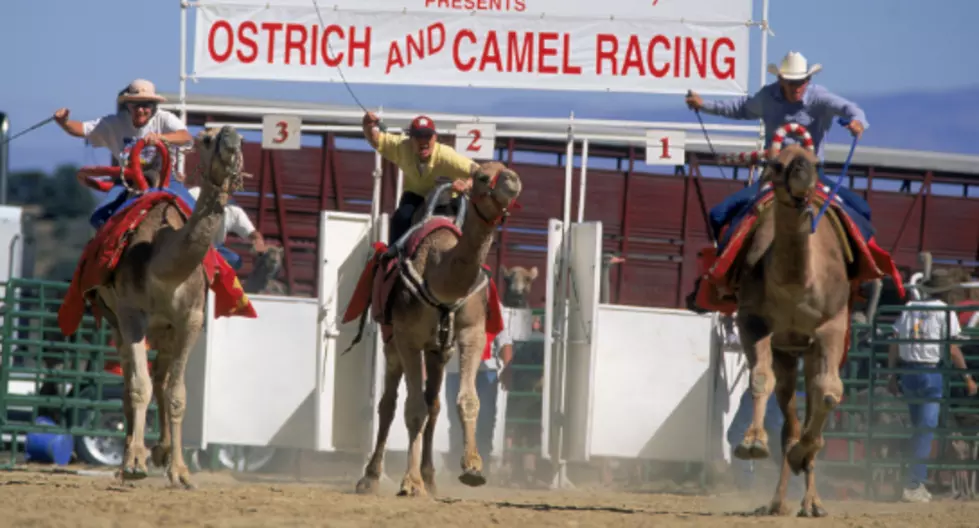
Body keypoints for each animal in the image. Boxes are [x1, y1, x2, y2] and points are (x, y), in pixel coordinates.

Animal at [88, 126, 249, 488]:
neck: (163, 267)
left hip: (165, 331)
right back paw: (126, 463)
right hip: (117, 322)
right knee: (129, 381)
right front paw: (135, 464)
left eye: (241, 139)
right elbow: (139, 387)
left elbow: (177, 393)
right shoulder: (131, 315)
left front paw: (180, 471)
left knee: (161, 379)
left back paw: (161, 451)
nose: (231, 138)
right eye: (207, 138)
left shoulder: (190, 320)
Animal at [352, 162, 520, 500]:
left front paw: (472, 467)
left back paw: (430, 477)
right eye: (482, 175)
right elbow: (412, 408)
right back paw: (371, 477)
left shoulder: (472, 334)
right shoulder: (407, 338)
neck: (440, 275)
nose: (512, 180)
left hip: (438, 351)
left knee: (433, 403)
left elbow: (466, 400)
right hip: (393, 344)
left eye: (507, 169)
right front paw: (410, 482)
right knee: (388, 404)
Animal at [732, 142, 852, 516]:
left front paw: (804, 454)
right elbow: (760, 378)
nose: (803, 173)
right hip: (787, 352)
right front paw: (752, 442)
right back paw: (777, 502)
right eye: (776, 163)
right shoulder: (752, 321)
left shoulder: (832, 325)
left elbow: (830, 391)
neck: (796, 286)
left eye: (817, 162)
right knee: (789, 420)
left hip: (811, 351)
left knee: (814, 397)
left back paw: (812, 501)